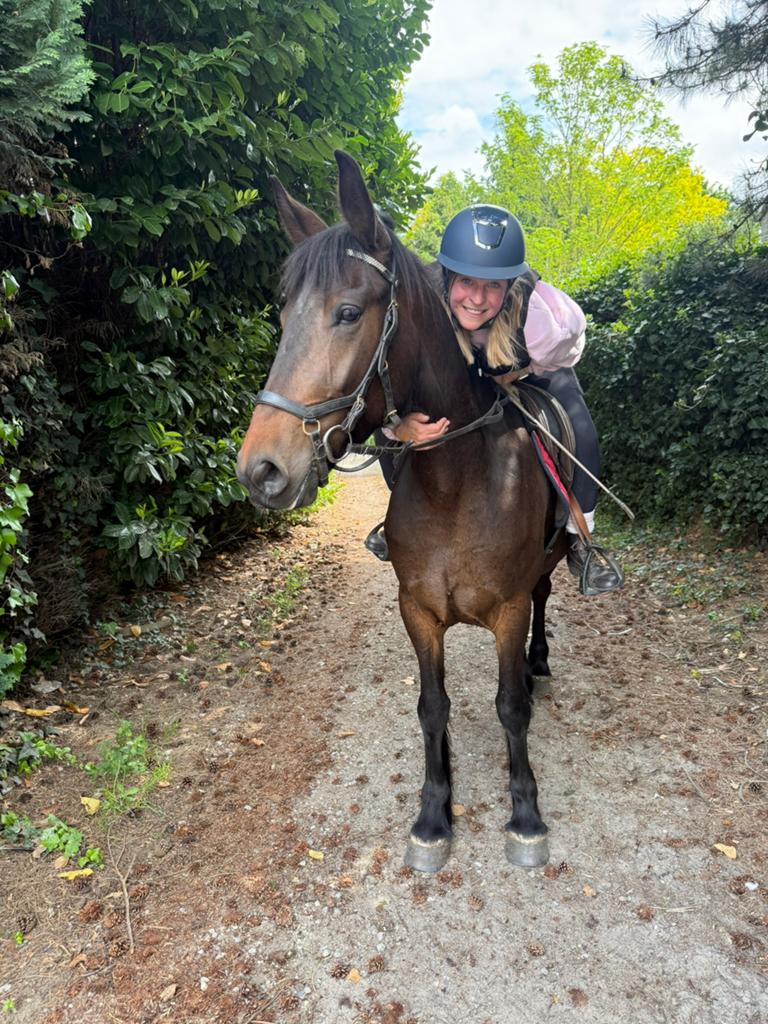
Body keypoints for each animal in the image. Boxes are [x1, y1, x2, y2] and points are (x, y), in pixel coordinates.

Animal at [237, 151, 568, 872]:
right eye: (283, 316)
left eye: (347, 312)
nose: (261, 470)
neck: (458, 486)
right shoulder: (416, 609)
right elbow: (432, 707)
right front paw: (434, 816)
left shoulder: (507, 609)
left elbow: (510, 708)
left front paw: (526, 816)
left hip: (547, 569)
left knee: (546, 598)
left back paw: (541, 661)